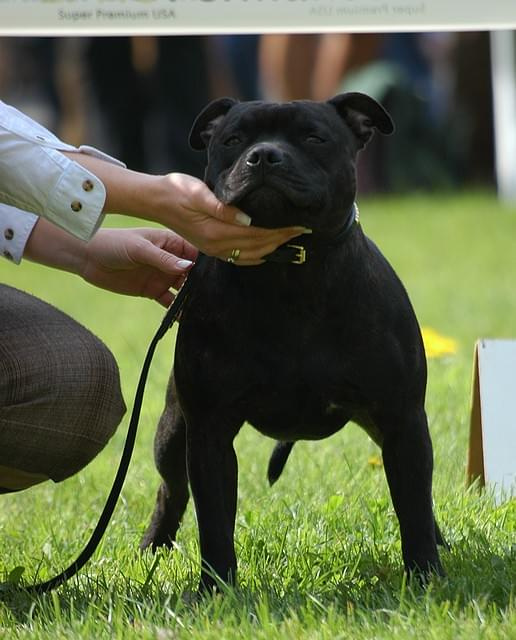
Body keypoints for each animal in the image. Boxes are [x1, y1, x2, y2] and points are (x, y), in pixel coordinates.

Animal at [142, 91, 448, 592]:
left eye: (314, 137)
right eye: (233, 140)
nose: (264, 155)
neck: (289, 270)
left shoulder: (402, 419)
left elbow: (414, 505)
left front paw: (425, 575)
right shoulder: (208, 431)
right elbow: (214, 518)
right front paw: (215, 590)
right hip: (172, 432)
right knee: (172, 488)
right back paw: (154, 545)